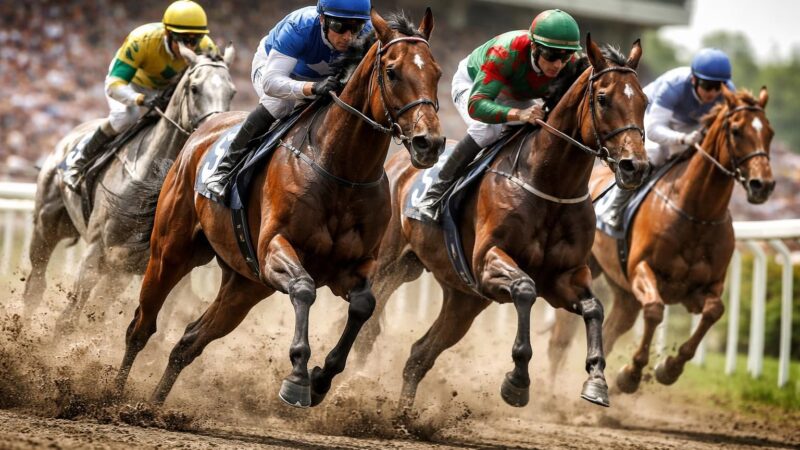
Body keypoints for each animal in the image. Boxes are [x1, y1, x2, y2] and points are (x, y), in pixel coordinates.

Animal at [23, 46, 236, 327]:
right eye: (194, 88)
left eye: (232, 92)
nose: (217, 132)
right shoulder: (96, 251)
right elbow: (69, 317)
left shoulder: (148, 267)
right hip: (46, 225)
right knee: (35, 286)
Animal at [112, 9, 444, 408]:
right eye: (392, 72)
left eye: (437, 73)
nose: (430, 143)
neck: (341, 170)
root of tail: (196, 136)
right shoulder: (276, 248)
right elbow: (303, 289)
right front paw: (298, 378)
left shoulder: (354, 266)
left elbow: (365, 305)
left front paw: (321, 379)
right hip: (171, 252)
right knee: (140, 327)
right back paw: (111, 397)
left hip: (246, 283)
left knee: (189, 341)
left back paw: (153, 407)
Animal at [353, 36, 651, 411]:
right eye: (603, 98)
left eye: (644, 101)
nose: (635, 166)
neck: (550, 184)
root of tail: (395, 165)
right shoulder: (488, 261)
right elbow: (524, 289)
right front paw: (517, 381)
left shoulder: (564, 277)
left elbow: (594, 307)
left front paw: (596, 381)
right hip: (389, 265)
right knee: (368, 327)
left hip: (463, 297)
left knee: (419, 355)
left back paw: (401, 416)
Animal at [547, 87, 775, 393]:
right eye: (737, 131)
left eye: (770, 132)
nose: (763, 185)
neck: (697, 213)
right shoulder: (642, 270)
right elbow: (655, 311)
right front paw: (630, 374)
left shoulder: (705, 287)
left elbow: (714, 311)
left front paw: (669, 368)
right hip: (585, 268)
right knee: (560, 338)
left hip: (624, 291)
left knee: (613, 327)